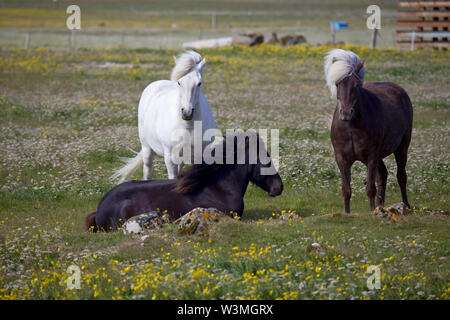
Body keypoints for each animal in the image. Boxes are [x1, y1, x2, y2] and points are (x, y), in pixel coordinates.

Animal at [111, 50, 215, 181]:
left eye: (199, 83)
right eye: (179, 82)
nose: (186, 112)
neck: (187, 126)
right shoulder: (170, 157)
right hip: (147, 148)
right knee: (147, 169)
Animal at [326, 48, 414, 214]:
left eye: (356, 85)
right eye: (337, 83)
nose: (346, 112)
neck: (351, 128)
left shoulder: (371, 157)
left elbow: (370, 189)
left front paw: (373, 211)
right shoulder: (341, 159)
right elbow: (346, 190)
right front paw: (347, 213)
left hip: (402, 147)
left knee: (401, 176)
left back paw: (405, 206)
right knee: (383, 175)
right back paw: (381, 206)